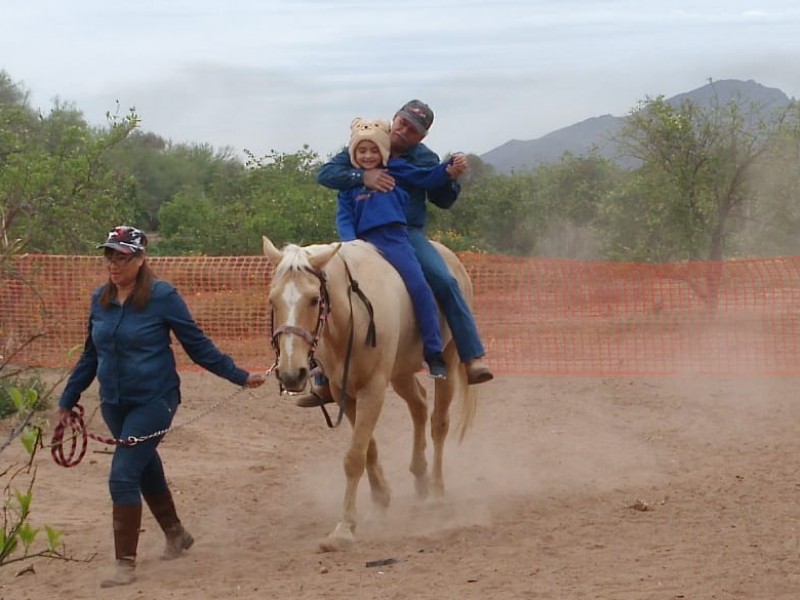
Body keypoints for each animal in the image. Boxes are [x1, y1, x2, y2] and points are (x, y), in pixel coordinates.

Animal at [262, 236, 478, 552]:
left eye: (314, 299)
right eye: (272, 300)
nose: (292, 373)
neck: (352, 318)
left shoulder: (372, 390)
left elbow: (354, 457)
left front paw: (344, 529)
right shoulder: (346, 393)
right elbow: (368, 449)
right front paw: (380, 503)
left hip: (447, 364)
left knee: (439, 423)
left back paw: (436, 493)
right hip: (400, 373)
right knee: (419, 405)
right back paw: (420, 476)